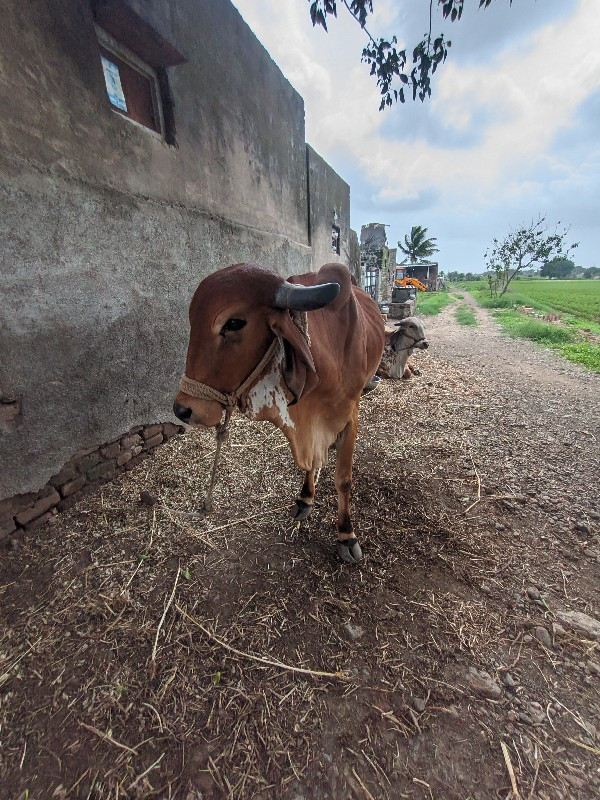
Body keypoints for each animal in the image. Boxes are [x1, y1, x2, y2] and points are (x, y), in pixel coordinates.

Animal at [173, 262, 384, 564]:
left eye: (233, 323)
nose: (183, 409)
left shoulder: (349, 414)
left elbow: (343, 479)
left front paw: (346, 535)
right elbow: (310, 464)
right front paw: (305, 498)